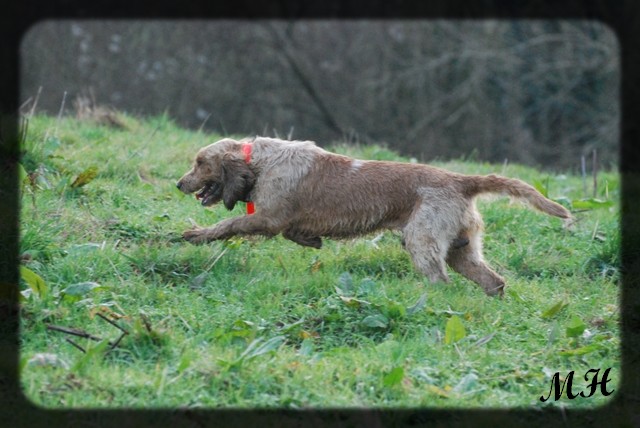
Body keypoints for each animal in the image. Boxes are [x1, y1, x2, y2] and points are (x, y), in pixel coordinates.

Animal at [175, 135, 568, 296]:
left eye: (200, 163)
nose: (179, 183)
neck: (259, 161)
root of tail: (460, 180)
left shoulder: (268, 217)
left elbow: (228, 224)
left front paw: (195, 234)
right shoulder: (280, 220)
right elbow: (293, 232)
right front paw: (310, 240)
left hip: (422, 242)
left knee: (440, 282)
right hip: (463, 251)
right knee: (494, 282)